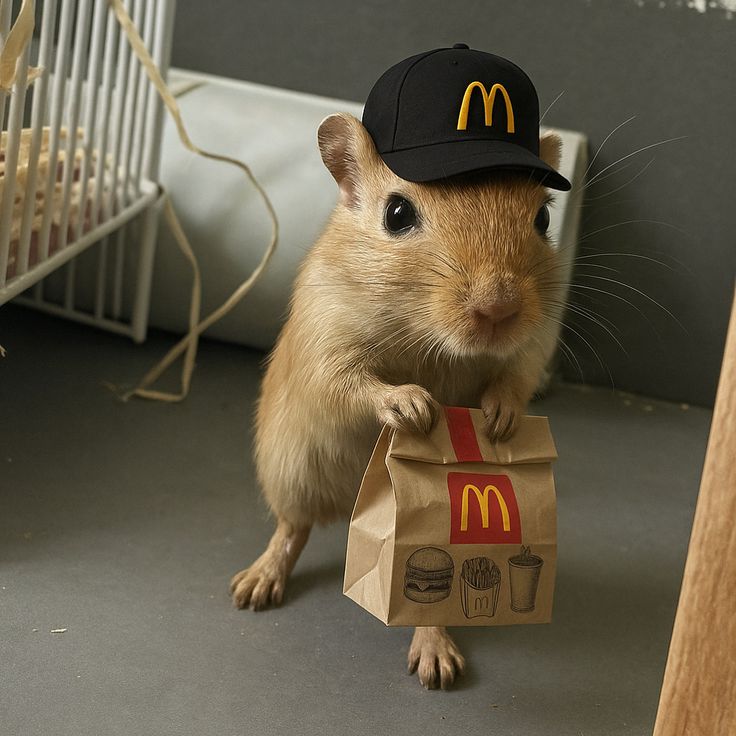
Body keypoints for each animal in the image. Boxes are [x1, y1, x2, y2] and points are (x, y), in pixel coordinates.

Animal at [230, 112, 567, 689]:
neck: (431, 340)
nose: (498, 309)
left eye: (543, 217)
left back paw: (437, 663)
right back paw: (254, 587)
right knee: (292, 529)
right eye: (397, 213)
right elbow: (353, 384)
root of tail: (348, 506)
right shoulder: (327, 340)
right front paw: (414, 406)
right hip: (290, 470)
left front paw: (499, 418)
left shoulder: (533, 344)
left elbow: (514, 379)